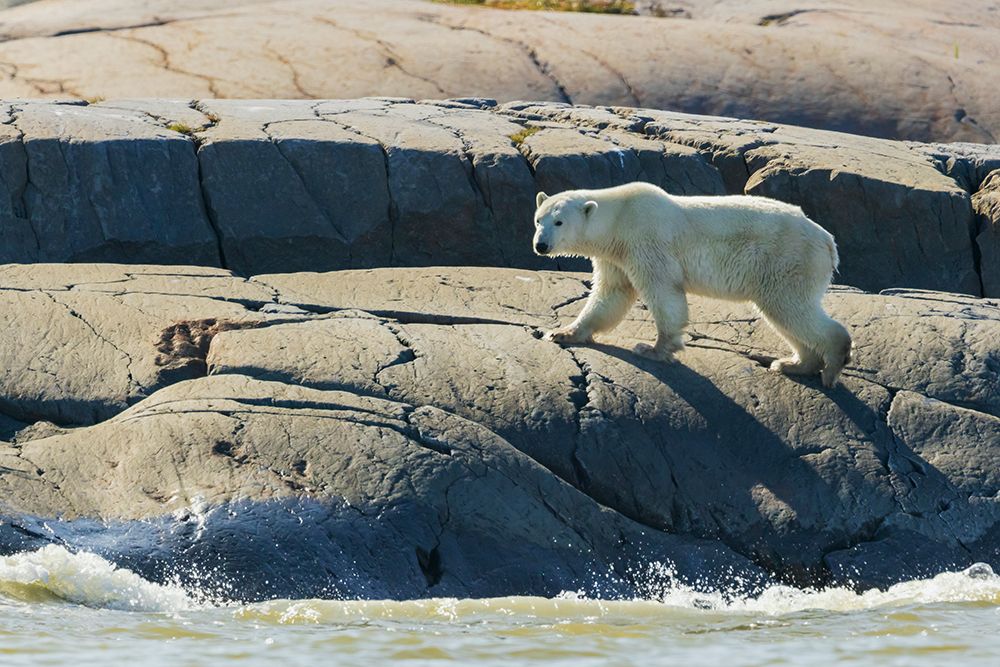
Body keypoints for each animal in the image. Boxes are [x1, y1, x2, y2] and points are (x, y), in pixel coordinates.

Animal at [533, 182, 852, 388]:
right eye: (538, 220)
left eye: (559, 222)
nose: (541, 245)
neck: (619, 218)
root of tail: (827, 240)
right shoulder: (616, 256)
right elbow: (611, 295)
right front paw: (562, 333)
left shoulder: (646, 241)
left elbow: (663, 293)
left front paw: (653, 349)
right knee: (786, 315)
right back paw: (793, 364)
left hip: (786, 260)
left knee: (789, 307)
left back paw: (831, 365)